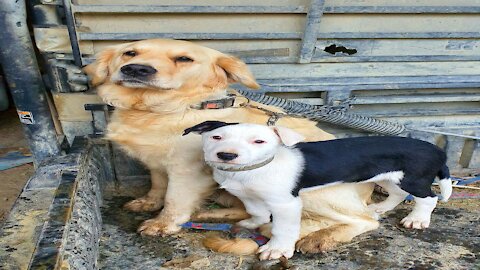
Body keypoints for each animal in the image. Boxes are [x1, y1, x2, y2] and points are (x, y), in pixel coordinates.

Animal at [85, 39, 378, 254]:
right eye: (130, 53)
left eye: (184, 59)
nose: (136, 69)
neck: (167, 108)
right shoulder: (157, 163)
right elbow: (157, 186)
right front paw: (148, 202)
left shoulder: (187, 172)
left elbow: (173, 200)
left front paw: (162, 224)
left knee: (363, 220)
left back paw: (318, 237)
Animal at [182, 121, 452, 260]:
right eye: (216, 137)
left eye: (259, 141)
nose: (226, 155)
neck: (253, 170)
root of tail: (437, 150)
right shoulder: (249, 195)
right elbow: (257, 211)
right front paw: (251, 223)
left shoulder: (286, 204)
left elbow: (283, 228)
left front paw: (277, 249)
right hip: (387, 177)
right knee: (397, 193)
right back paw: (380, 207)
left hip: (414, 179)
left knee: (429, 199)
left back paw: (417, 220)